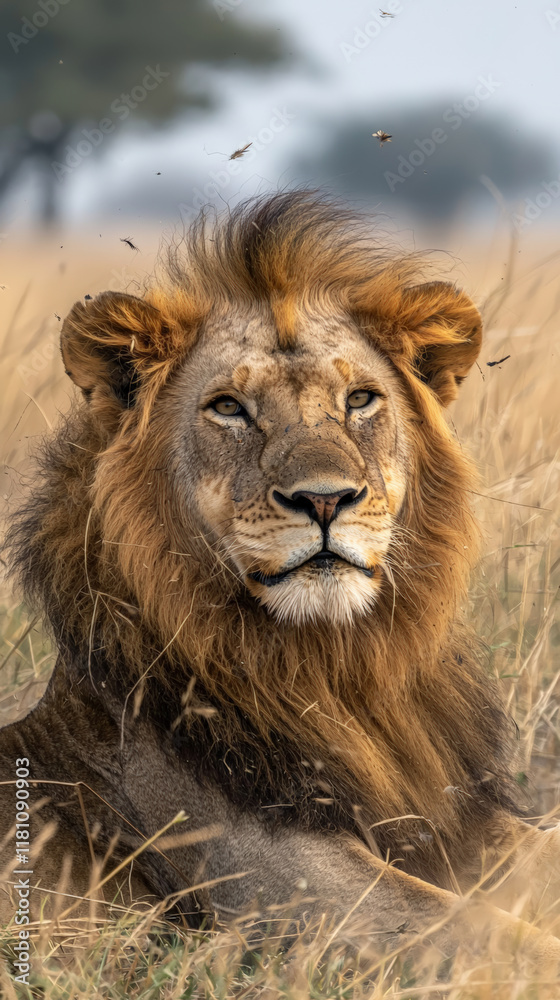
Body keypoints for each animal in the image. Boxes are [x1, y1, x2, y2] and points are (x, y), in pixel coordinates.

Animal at [1, 192, 559, 966]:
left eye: (360, 400)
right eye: (229, 408)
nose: (325, 500)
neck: (333, 667)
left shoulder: (449, 824)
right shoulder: (288, 893)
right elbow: (497, 939)